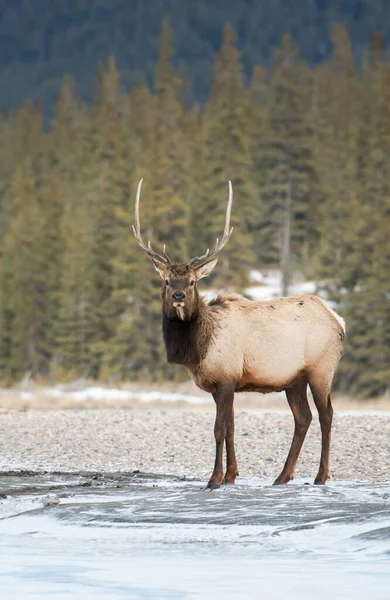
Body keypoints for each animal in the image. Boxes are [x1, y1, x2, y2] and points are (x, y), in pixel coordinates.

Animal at [133, 178, 344, 488]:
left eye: (193, 281)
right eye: (167, 281)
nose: (179, 296)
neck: (199, 350)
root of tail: (338, 320)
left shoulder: (226, 378)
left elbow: (219, 428)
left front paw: (214, 478)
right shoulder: (221, 383)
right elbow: (231, 428)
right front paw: (231, 475)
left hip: (321, 368)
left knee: (326, 414)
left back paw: (320, 476)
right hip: (293, 379)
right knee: (303, 418)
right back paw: (283, 476)